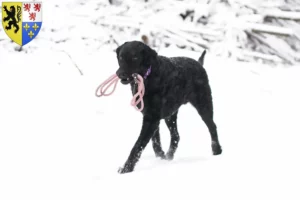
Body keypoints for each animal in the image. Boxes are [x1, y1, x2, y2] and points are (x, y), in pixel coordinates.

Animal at [116, 40, 221, 173]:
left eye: (135, 57)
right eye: (121, 57)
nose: (119, 73)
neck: (149, 78)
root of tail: (198, 63)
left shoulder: (152, 118)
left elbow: (138, 145)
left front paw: (126, 168)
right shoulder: (151, 116)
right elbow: (155, 140)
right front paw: (160, 156)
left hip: (204, 105)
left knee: (212, 126)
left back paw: (217, 150)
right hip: (170, 114)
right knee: (176, 136)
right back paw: (169, 156)